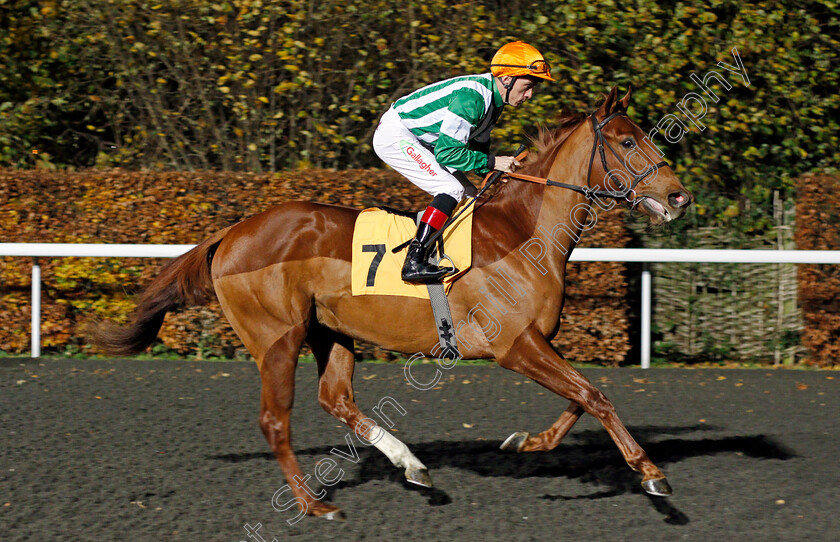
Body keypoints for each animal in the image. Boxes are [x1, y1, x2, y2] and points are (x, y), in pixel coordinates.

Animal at [92, 87, 696, 520]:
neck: (523, 233)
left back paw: (412, 465)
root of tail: (232, 233)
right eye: (626, 142)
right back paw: (314, 505)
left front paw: (526, 441)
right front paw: (651, 473)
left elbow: (583, 397)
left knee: (335, 398)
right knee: (275, 420)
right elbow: (594, 395)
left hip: (331, 332)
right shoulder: (513, 345)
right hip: (277, 339)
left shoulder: (535, 342)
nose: (678, 196)